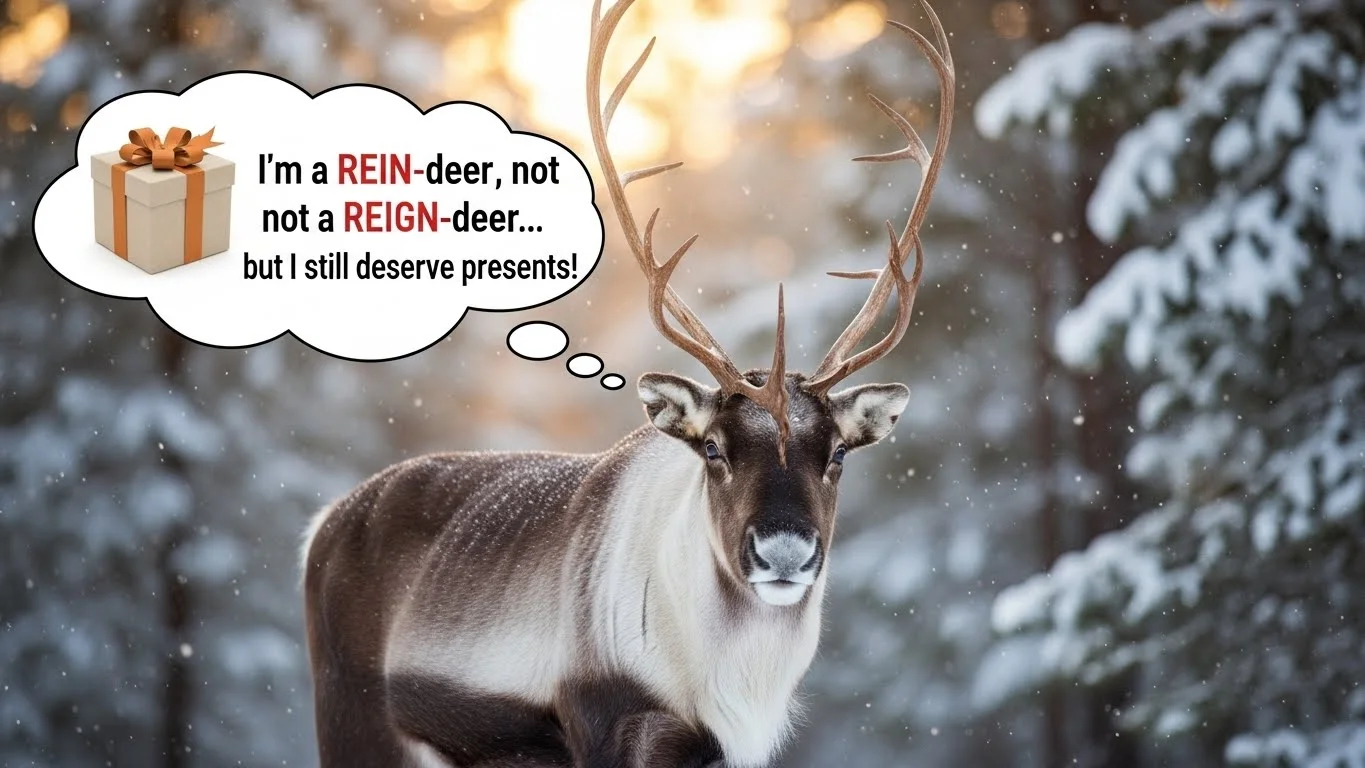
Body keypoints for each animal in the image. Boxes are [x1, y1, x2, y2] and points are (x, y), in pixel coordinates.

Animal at [301, 1, 953, 765]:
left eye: (840, 453)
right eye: (713, 449)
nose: (783, 552)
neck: (725, 687)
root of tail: (321, 525)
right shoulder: (607, 719)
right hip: (355, 720)